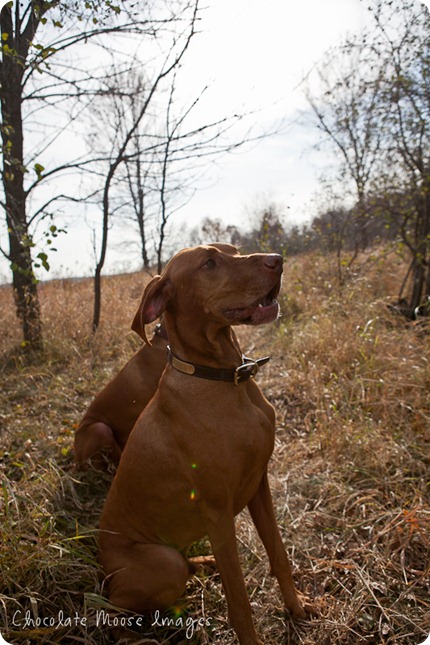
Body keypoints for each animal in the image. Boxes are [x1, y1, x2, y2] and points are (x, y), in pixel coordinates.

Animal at [99, 244, 310, 640]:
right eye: (209, 263)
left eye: (234, 251)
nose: (278, 259)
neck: (226, 379)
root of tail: (102, 564)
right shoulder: (217, 512)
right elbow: (239, 601)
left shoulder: (259, 484)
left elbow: (279, 554)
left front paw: (297, 607)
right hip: (163, 564)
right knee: (109, 607)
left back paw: (202, 562)